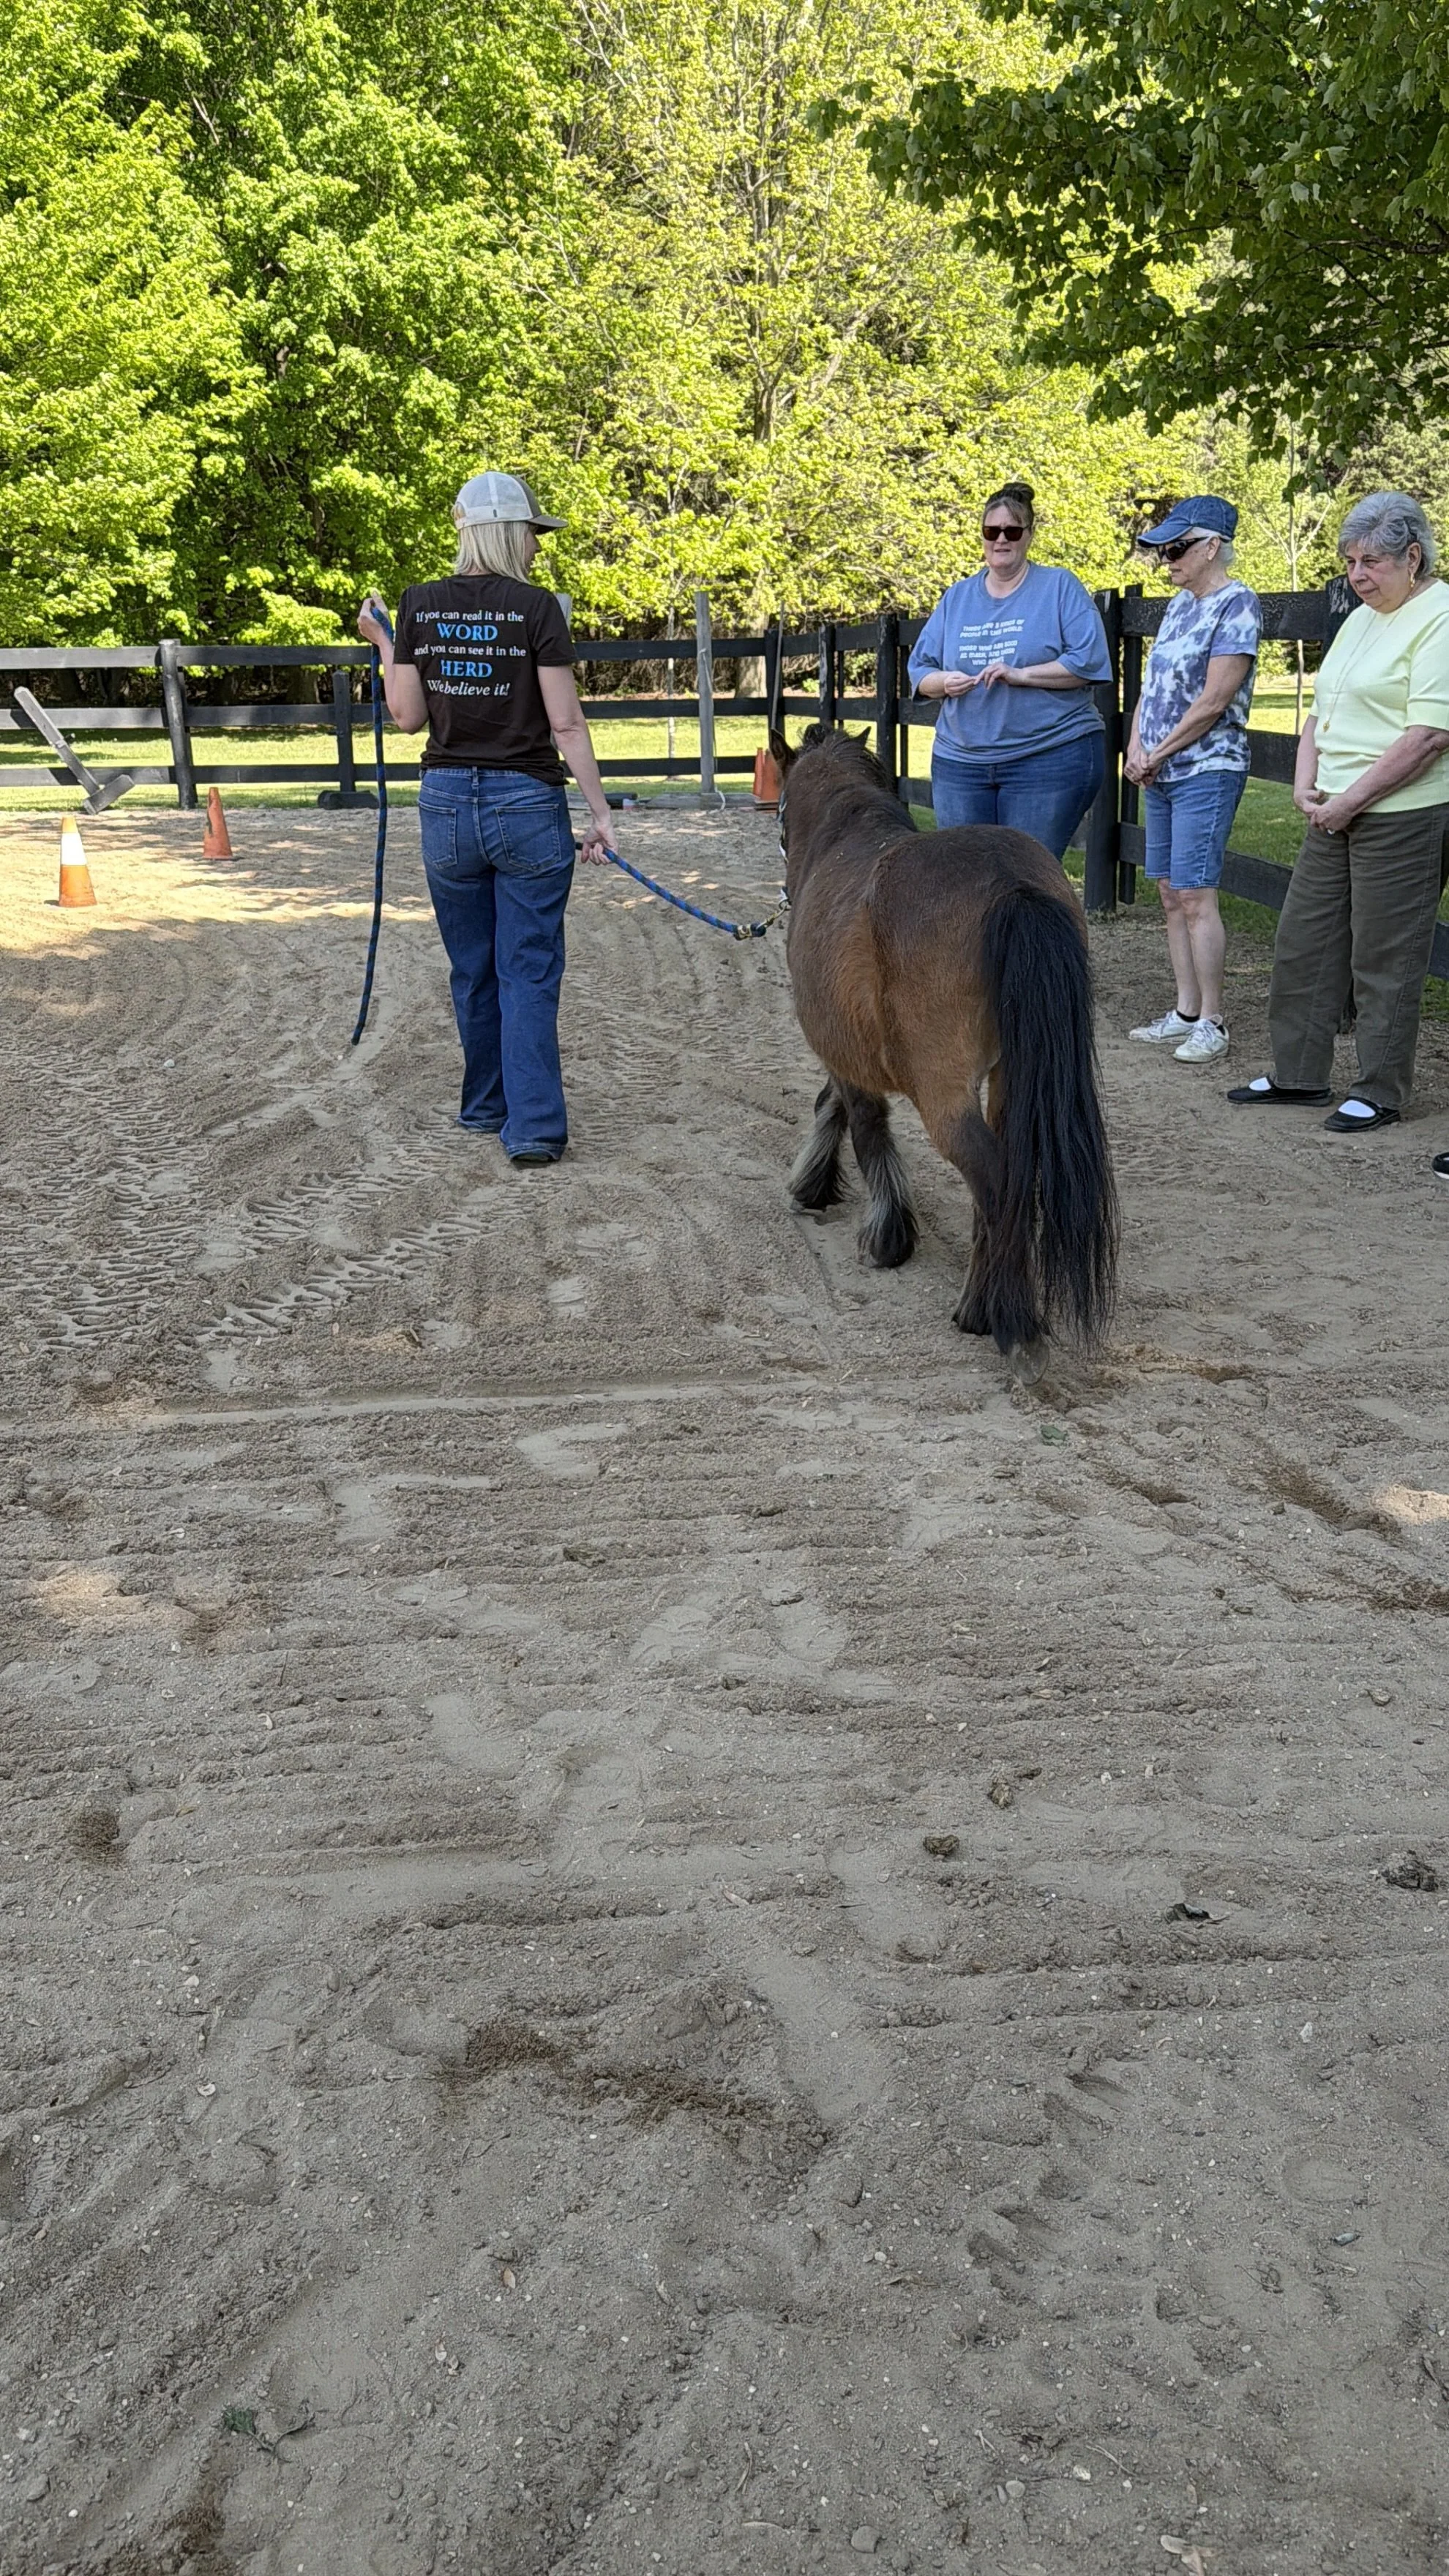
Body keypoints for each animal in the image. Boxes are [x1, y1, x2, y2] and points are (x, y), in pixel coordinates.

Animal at [772, 722, 1118, 1357]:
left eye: (780, 809)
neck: (842, 837)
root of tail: (1012, 885)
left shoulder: (841, 1048)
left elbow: (861, 1122)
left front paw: (886, 1235)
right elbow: (835, 1106)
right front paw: (815, 1184)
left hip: (944, 1093)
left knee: (994, 1175)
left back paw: (1008, 1321)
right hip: (1007, 1079)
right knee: (1008, 1177)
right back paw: (984, 1303)